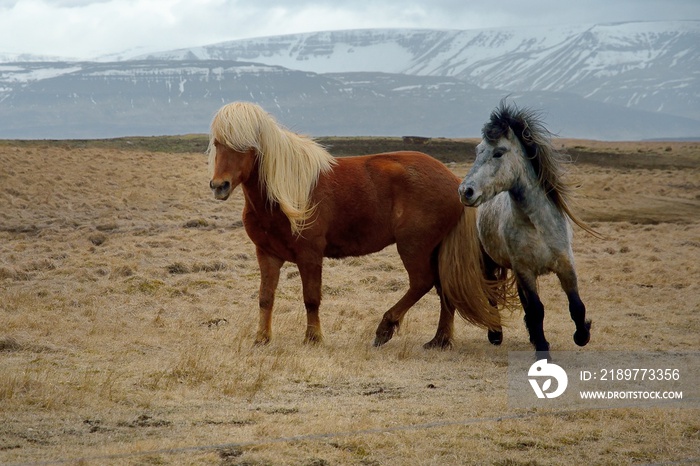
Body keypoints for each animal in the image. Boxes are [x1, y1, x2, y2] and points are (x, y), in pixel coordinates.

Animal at [208, 103, 508, 350]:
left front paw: (313, 338)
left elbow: (311, 297)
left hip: (414, 247)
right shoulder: (267, 255)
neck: (285, 193)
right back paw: (439, 340)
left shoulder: (309, 255)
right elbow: (265, 297)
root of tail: (453, 180)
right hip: (433, 250)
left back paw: (386, 328)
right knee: (443, 288)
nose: (219, 185)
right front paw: (262, 338)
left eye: (246, 146)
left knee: (422, 282)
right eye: (218, 143)